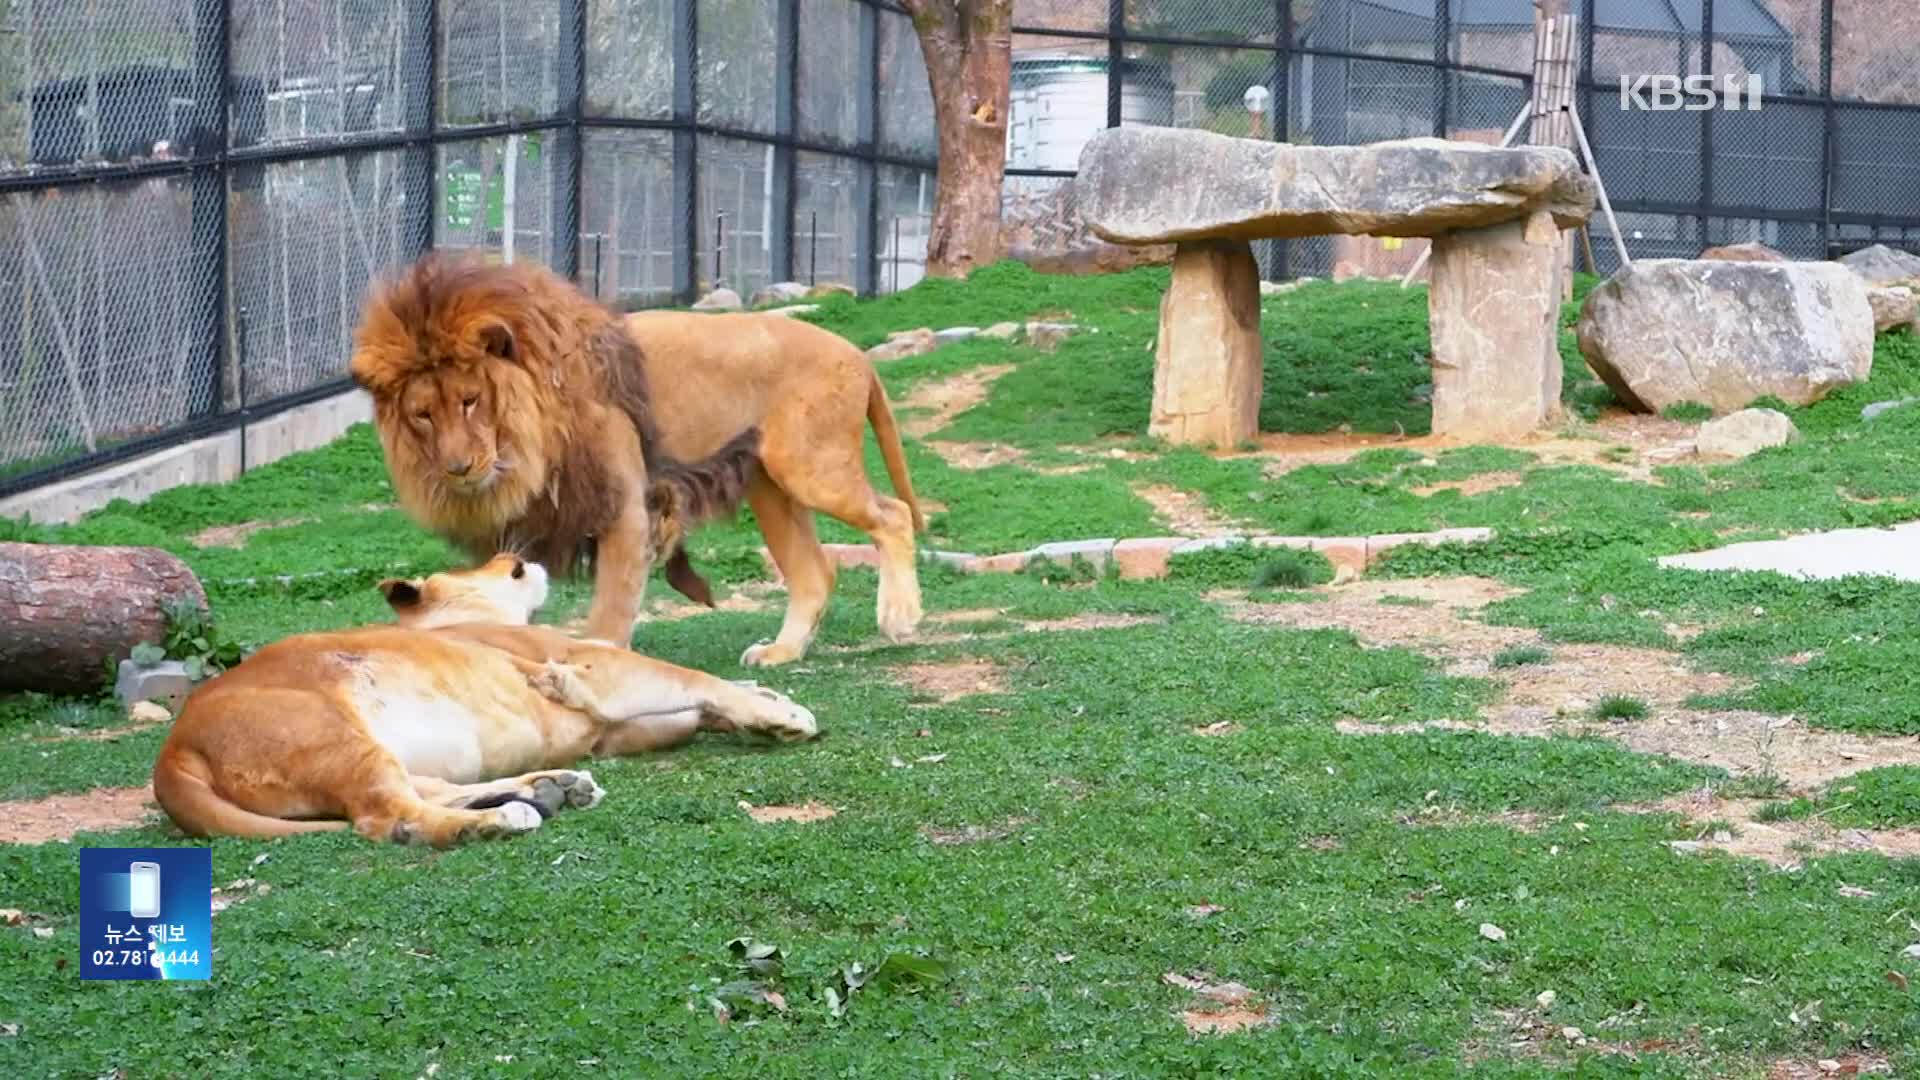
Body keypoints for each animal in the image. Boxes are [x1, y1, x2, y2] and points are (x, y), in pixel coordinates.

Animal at [147, 549, 810, 845]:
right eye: (495, 564)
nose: (517, 553)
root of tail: (171, 756)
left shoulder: (615, 729)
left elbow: (697, 705)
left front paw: (756, 698)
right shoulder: (582, 664)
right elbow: (691, 679)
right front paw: (782, 714)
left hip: (377, 750)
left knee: (427, 790)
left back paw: (552, 789)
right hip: (332, 735)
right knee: (389, 816)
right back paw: (504, 818)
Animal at [357, 251, 933, 664]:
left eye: (471, 400)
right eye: (422, 415)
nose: (458, 469)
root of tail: (857, 353)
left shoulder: (625, 508)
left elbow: (611, 608)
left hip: (812, 467)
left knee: (893, 514)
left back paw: (899, 615)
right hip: (770, 487)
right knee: (815, 572)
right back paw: (782, 651)